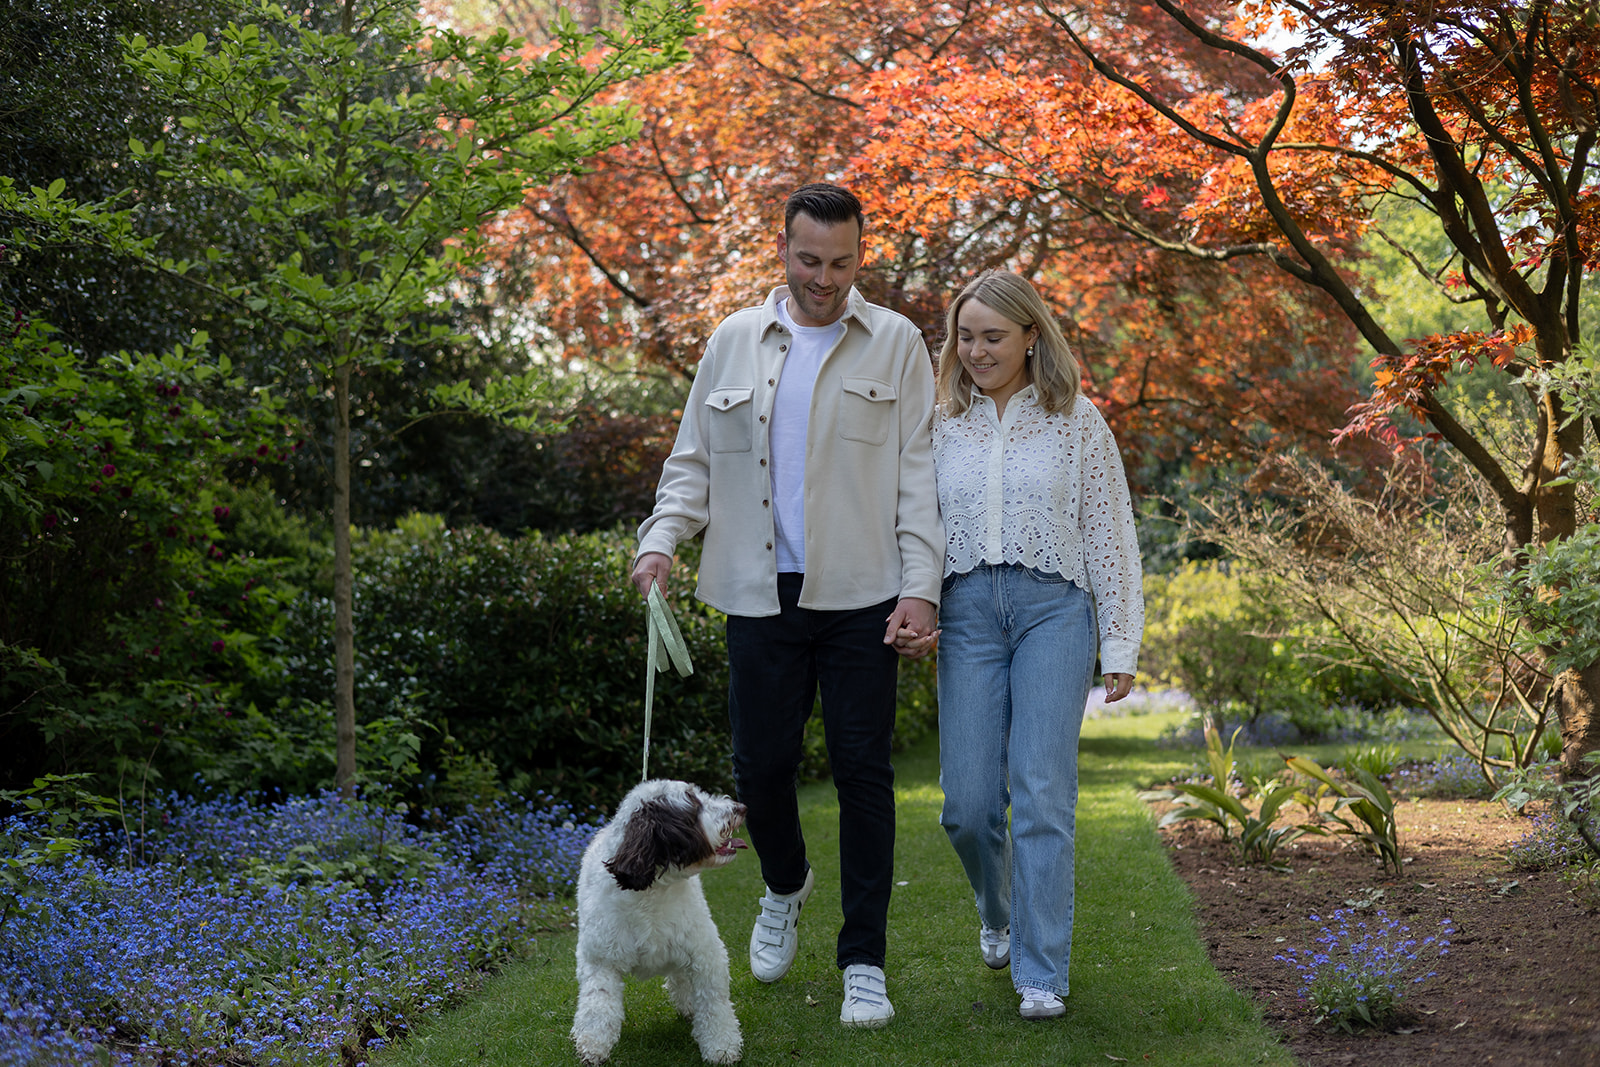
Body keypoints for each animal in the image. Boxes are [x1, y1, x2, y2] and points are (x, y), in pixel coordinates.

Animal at [576, 780, 748, 1062]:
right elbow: (597, 1006)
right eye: (694, 806)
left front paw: (721, 1045)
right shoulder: (600, 961)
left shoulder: (705, 953)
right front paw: (594, 1045)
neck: (652, 893)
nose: (740, 808)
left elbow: (714, 1003)